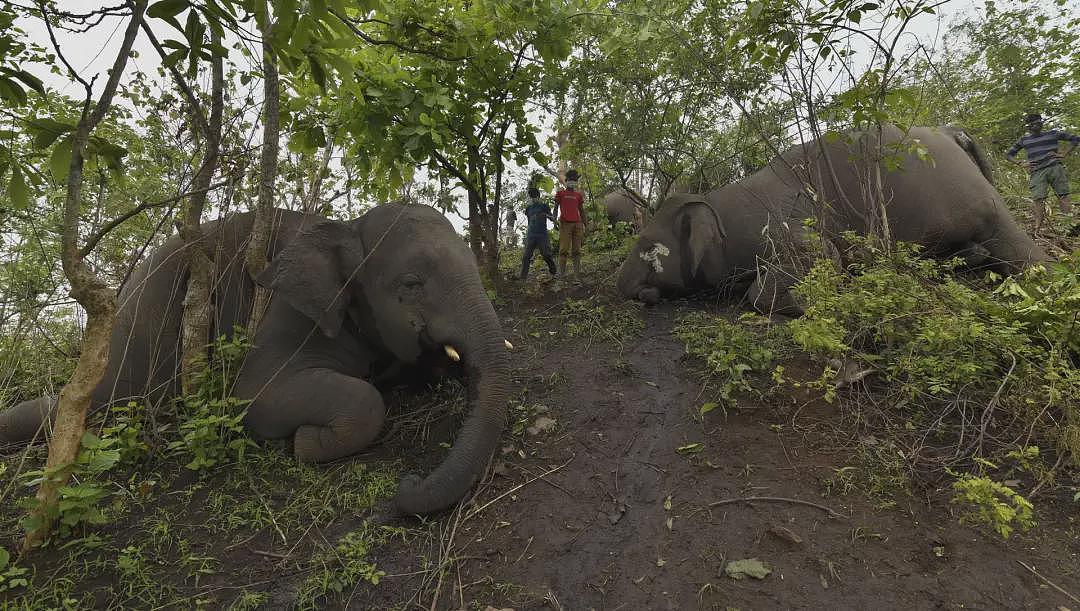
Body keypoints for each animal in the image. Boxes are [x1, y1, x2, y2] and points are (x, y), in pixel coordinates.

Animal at [0, 203, 510, 515]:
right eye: (411, 284)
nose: (411, 481)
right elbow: (257, 394)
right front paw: (306, 442)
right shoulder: (288, 311)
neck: (345, 225)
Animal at [617, 125, 1049, 310]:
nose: (623, 286)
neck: (714, 202)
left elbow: (823, 256)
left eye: (645, 245)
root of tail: (951, 131)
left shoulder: (787, 226)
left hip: (965, 196)